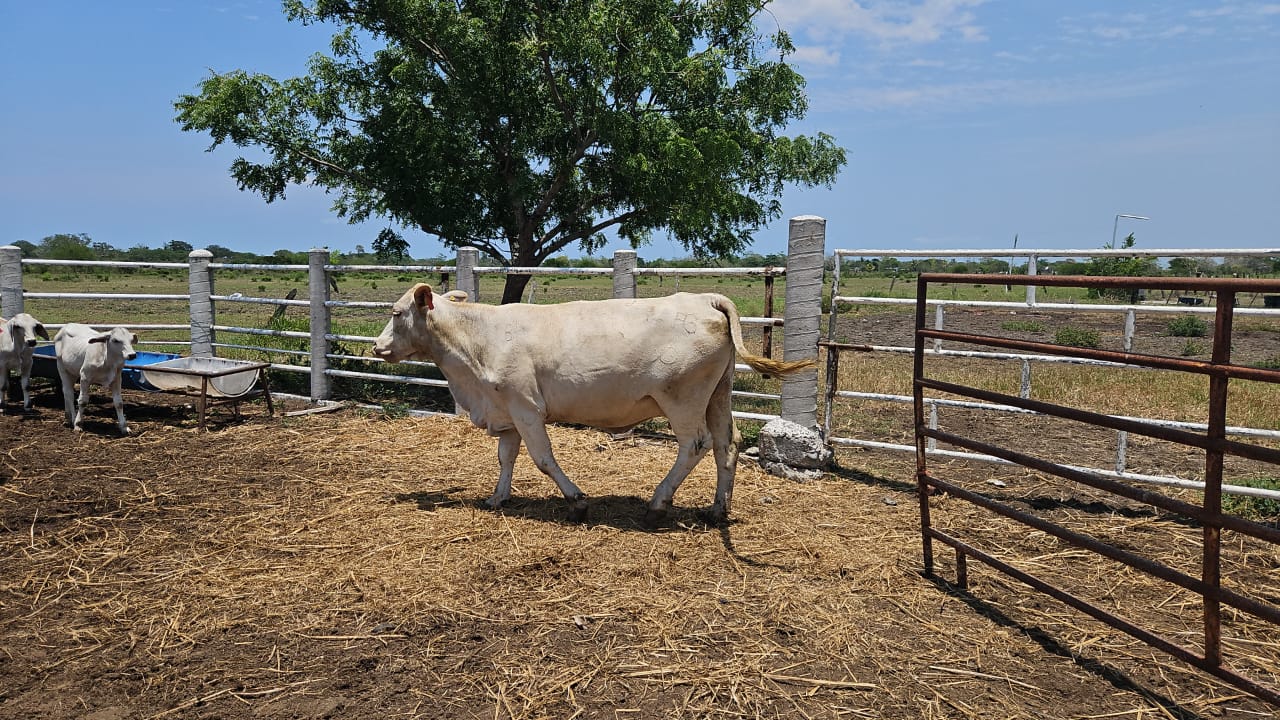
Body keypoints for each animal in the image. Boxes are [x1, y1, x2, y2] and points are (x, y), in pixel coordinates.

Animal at [372, 284, 814, 526]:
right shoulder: (507, 410)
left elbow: (543, 459)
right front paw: (497, 498)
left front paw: (577, 501)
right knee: (727, 444)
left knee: (696, 445)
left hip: (682, 400)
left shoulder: (526, 407)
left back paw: (657, 505)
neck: (477, 342)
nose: (376, 347)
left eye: (396, 312)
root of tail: (705, 298)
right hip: (718, 396)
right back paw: (717, 509)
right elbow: (506, 458)